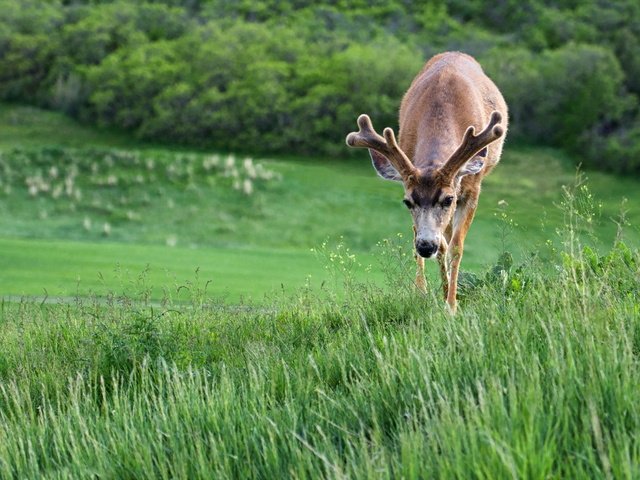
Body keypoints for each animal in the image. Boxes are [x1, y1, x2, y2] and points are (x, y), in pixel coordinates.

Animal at [348, 52, 508, 314]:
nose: (425, 246)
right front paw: (426, 293)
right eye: (407, 202)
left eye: (448, 198)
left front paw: (451, 306)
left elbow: (456, 247)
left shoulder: (471, 189)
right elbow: (440, 245)